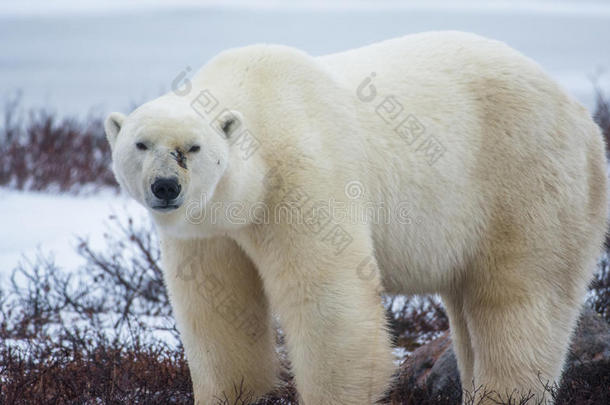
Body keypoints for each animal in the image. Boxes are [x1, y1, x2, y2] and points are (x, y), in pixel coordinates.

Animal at [103, 32, 604, 404]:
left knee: (519, 300)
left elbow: (328, 299)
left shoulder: (303, 175)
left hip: (524, 180)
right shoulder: (211, 228)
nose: (165, 187)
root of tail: (582, 115)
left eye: (192, 148)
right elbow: (214, 305)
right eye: (141, 144)